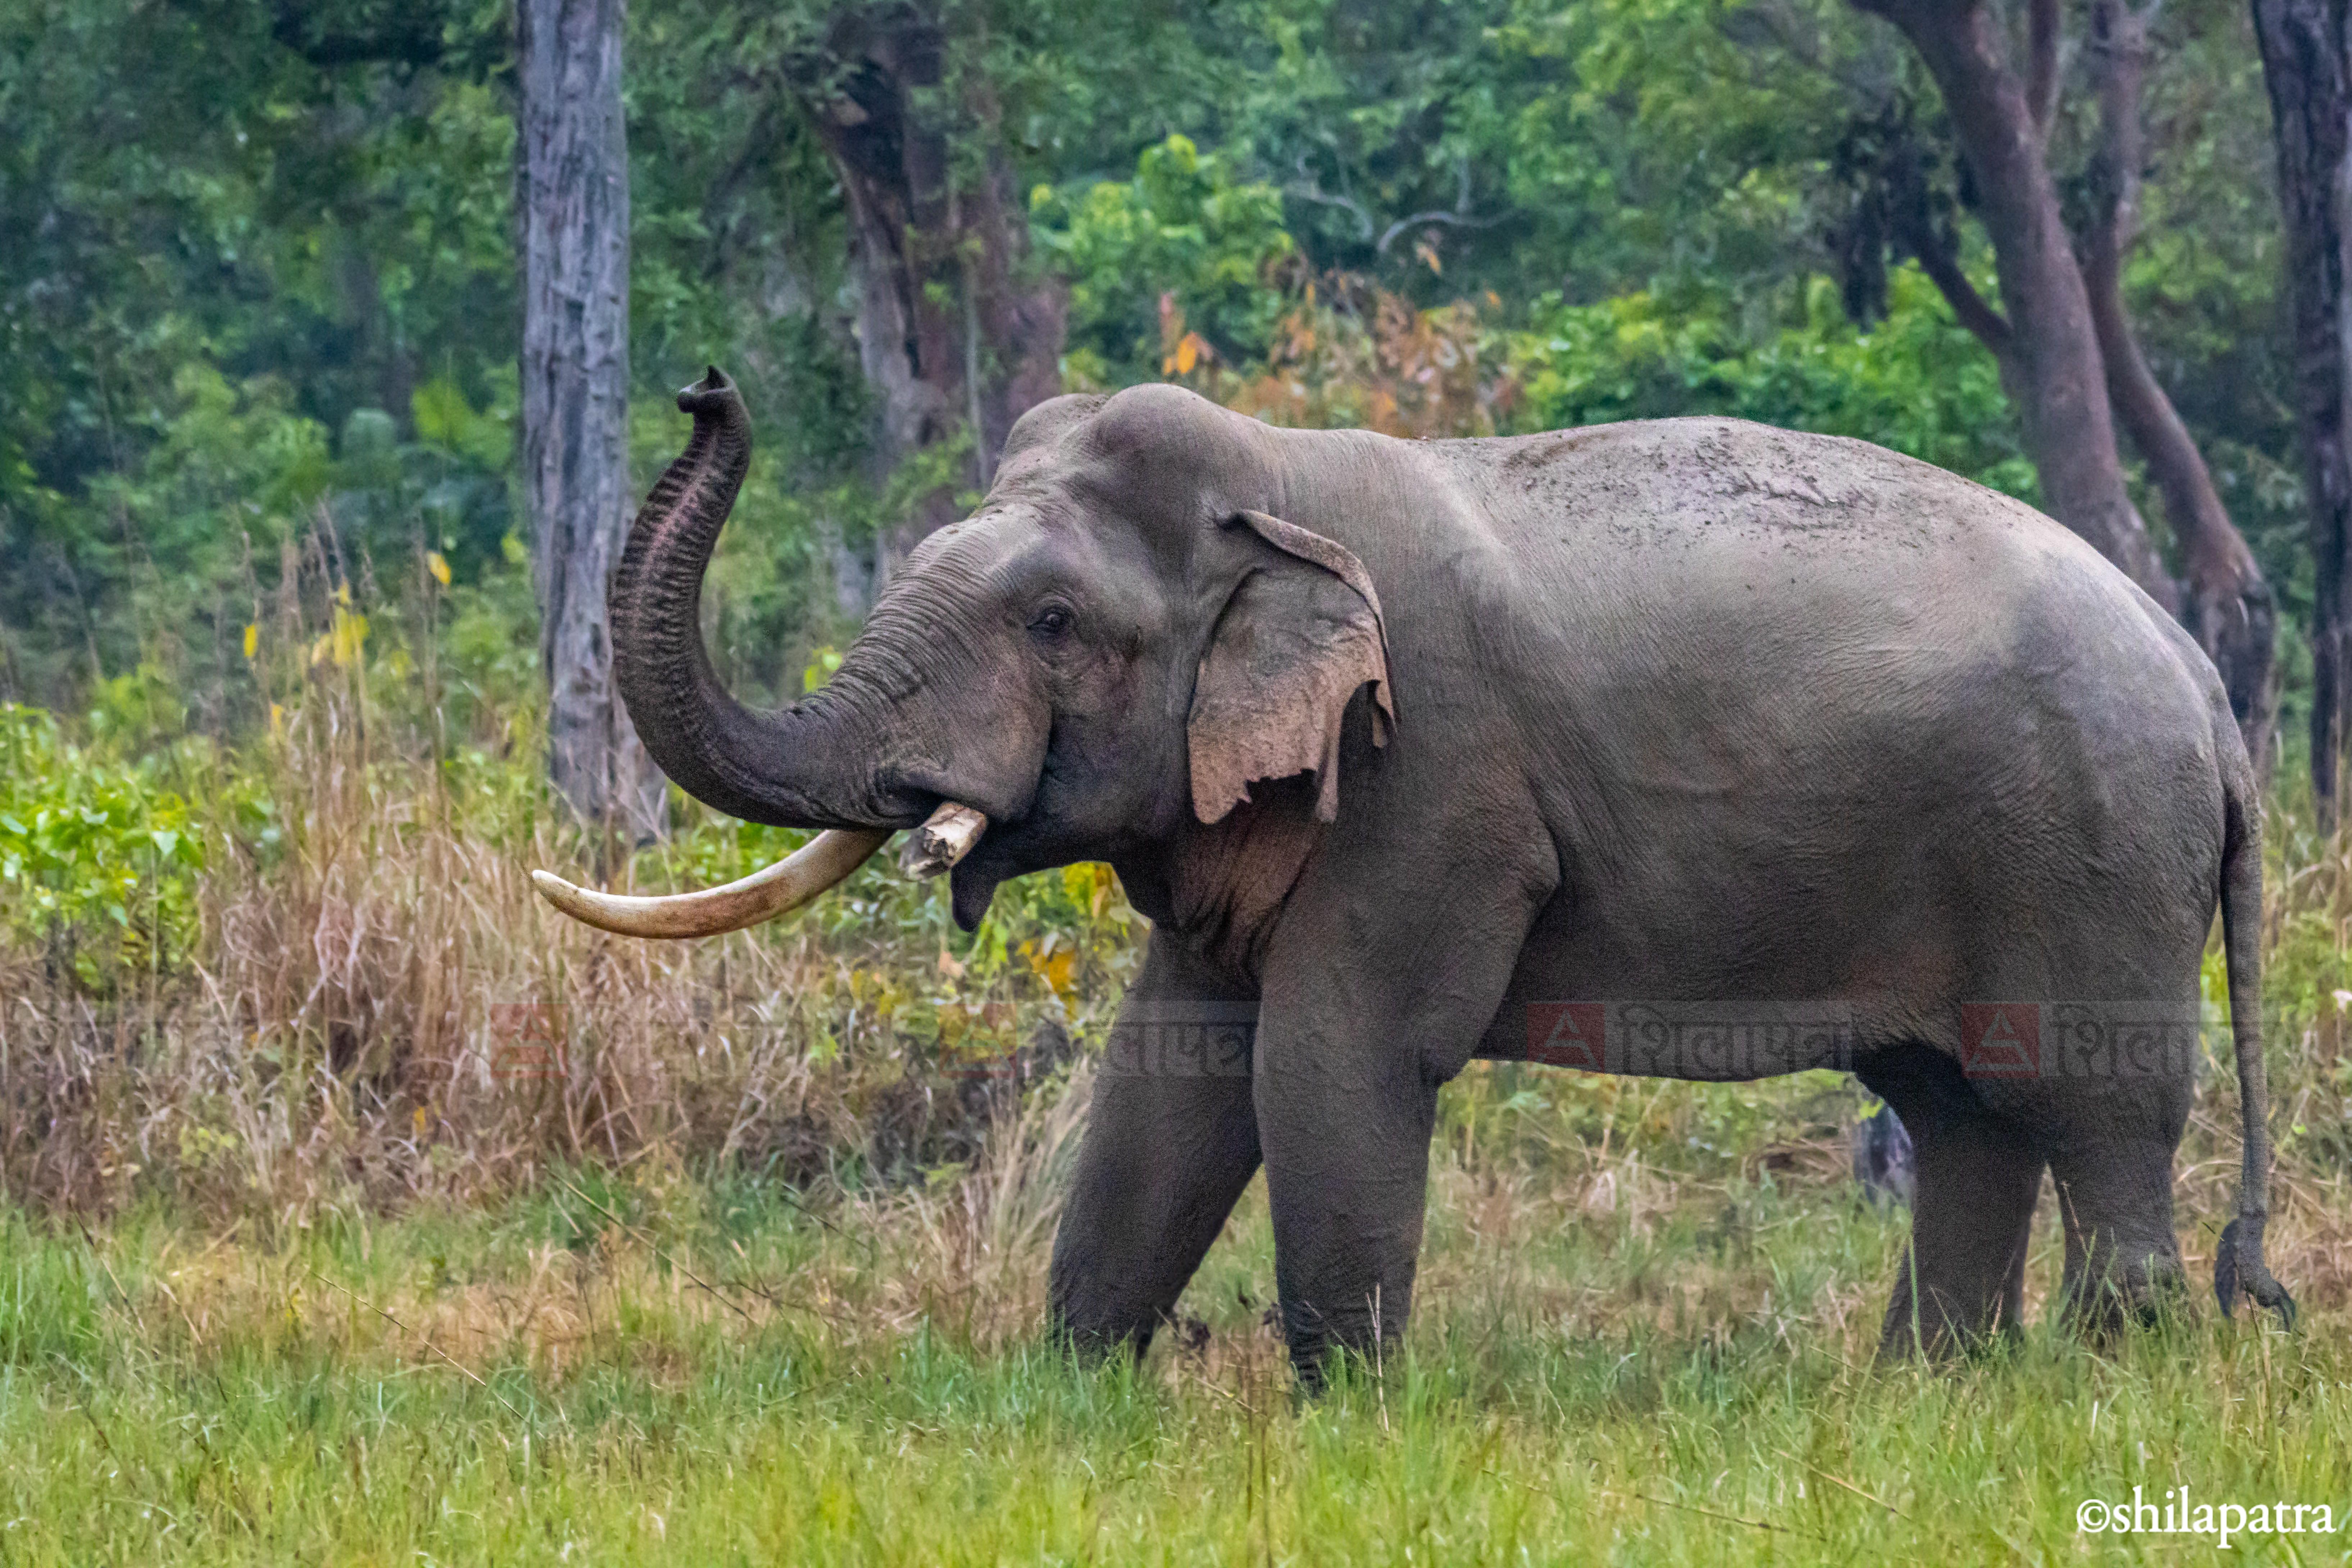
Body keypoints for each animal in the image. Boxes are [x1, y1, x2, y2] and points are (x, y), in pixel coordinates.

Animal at [535, 366, 2294, 1379]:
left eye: (1048, 622)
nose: (702, 388)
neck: (1276, 486)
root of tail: (2210, 704)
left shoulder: (1432, 781)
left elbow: (1338, 1058)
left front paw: (1350, 1412)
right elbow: (1174, 1066)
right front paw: (1077, 1385)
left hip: (2086, 854)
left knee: (2080, 1106)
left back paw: (2108, 1370)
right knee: (1956, 1109)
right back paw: (1933, 1387)